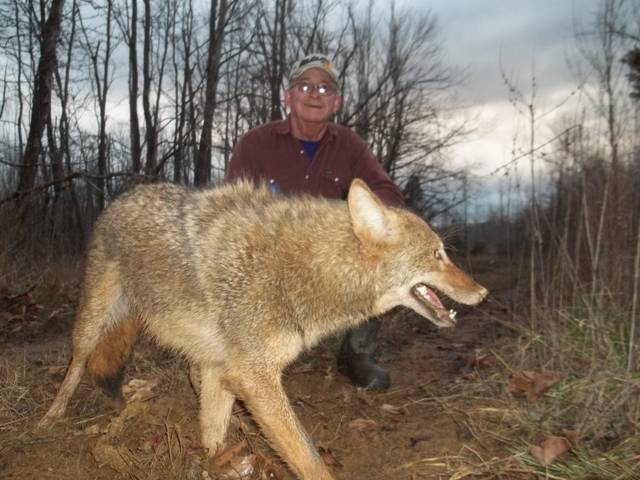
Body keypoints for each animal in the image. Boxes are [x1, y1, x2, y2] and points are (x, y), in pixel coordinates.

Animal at [38, 179, 487, 480]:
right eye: (438, 255)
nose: (483, 292)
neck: (308, 273)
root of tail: (122, 195)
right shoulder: (255, 378)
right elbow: (309, 460)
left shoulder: (224, 370)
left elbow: (213, 435)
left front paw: (212, 464)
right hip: (92, 323)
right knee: (76, 365)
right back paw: (49, 418)